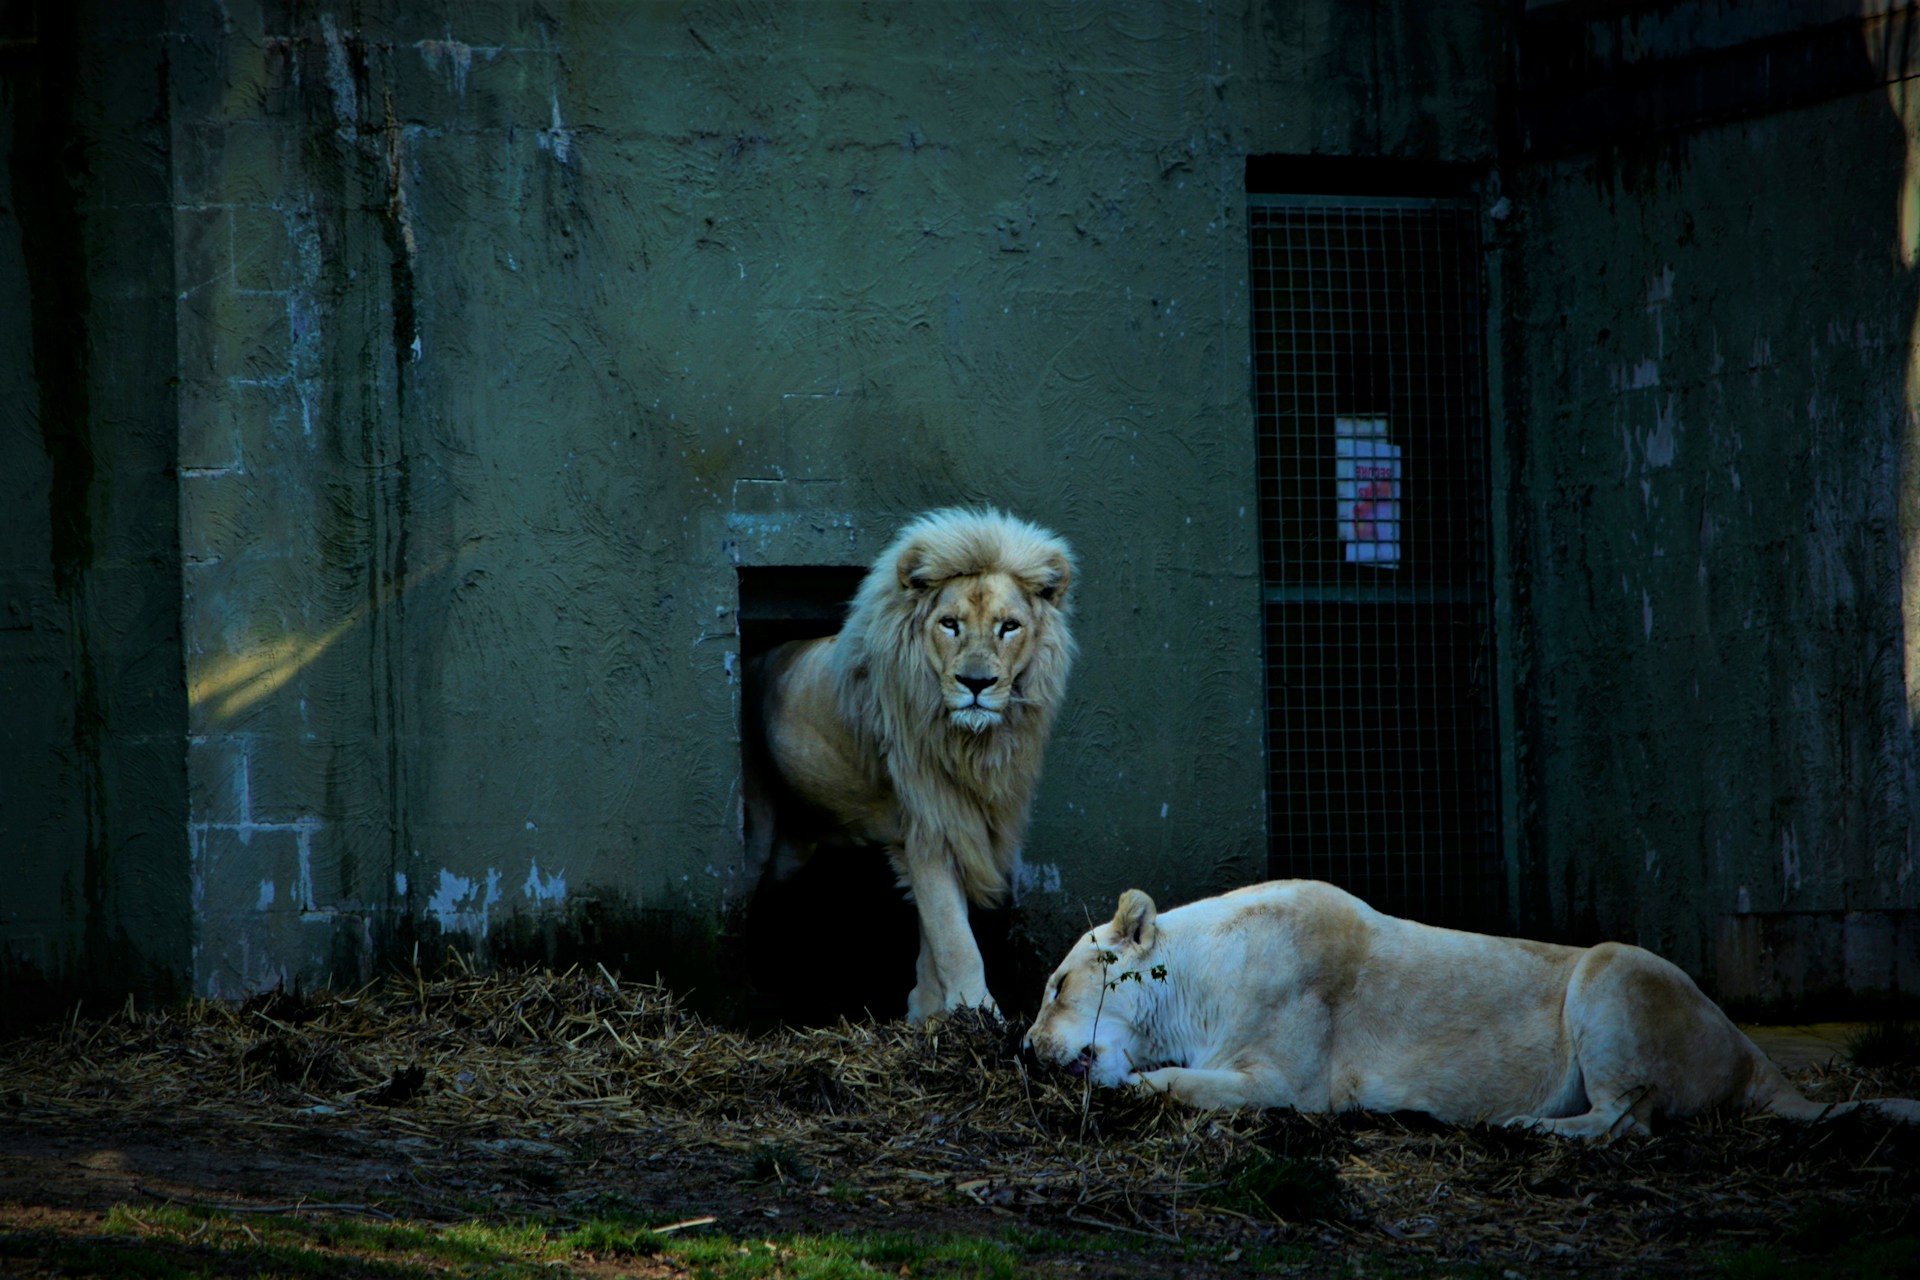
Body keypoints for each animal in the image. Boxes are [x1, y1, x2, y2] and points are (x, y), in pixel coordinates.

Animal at [744, 508, 1076, 1023]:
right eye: (949, 624)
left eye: (1009, 626)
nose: (975, 683)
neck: (971, 745)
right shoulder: (931, 822)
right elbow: (955, 937)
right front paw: (978, 1016)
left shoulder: (956, 824)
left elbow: (932, 931)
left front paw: (928, 1009)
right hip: (759, 829)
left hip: (796, 845)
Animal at [1025, 880, 1920, 1140]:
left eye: (1056, 986)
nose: (1026, 1050)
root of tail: (1754, 1054)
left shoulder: (1289, 1083)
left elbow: (1180, 1083)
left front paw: (1132, 1085)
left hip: (1611, 967)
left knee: (1624, 1122)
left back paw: (1515, 1126)